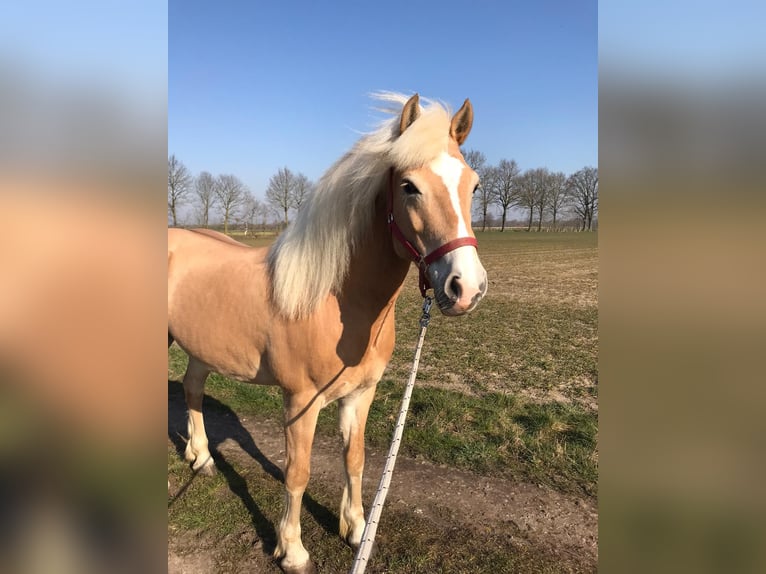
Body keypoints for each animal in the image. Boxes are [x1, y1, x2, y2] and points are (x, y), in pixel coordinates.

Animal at [169, 92, 488, 572]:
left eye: (474, 185)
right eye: (409, 186)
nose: (465, 288)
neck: (336, 301)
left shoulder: (360, 394)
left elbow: (355, 459)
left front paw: (356, 529)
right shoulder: (300, 403)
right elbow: (296, 473)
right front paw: (292, 550)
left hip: (201, 350)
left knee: (191, 389)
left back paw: (202, 457)